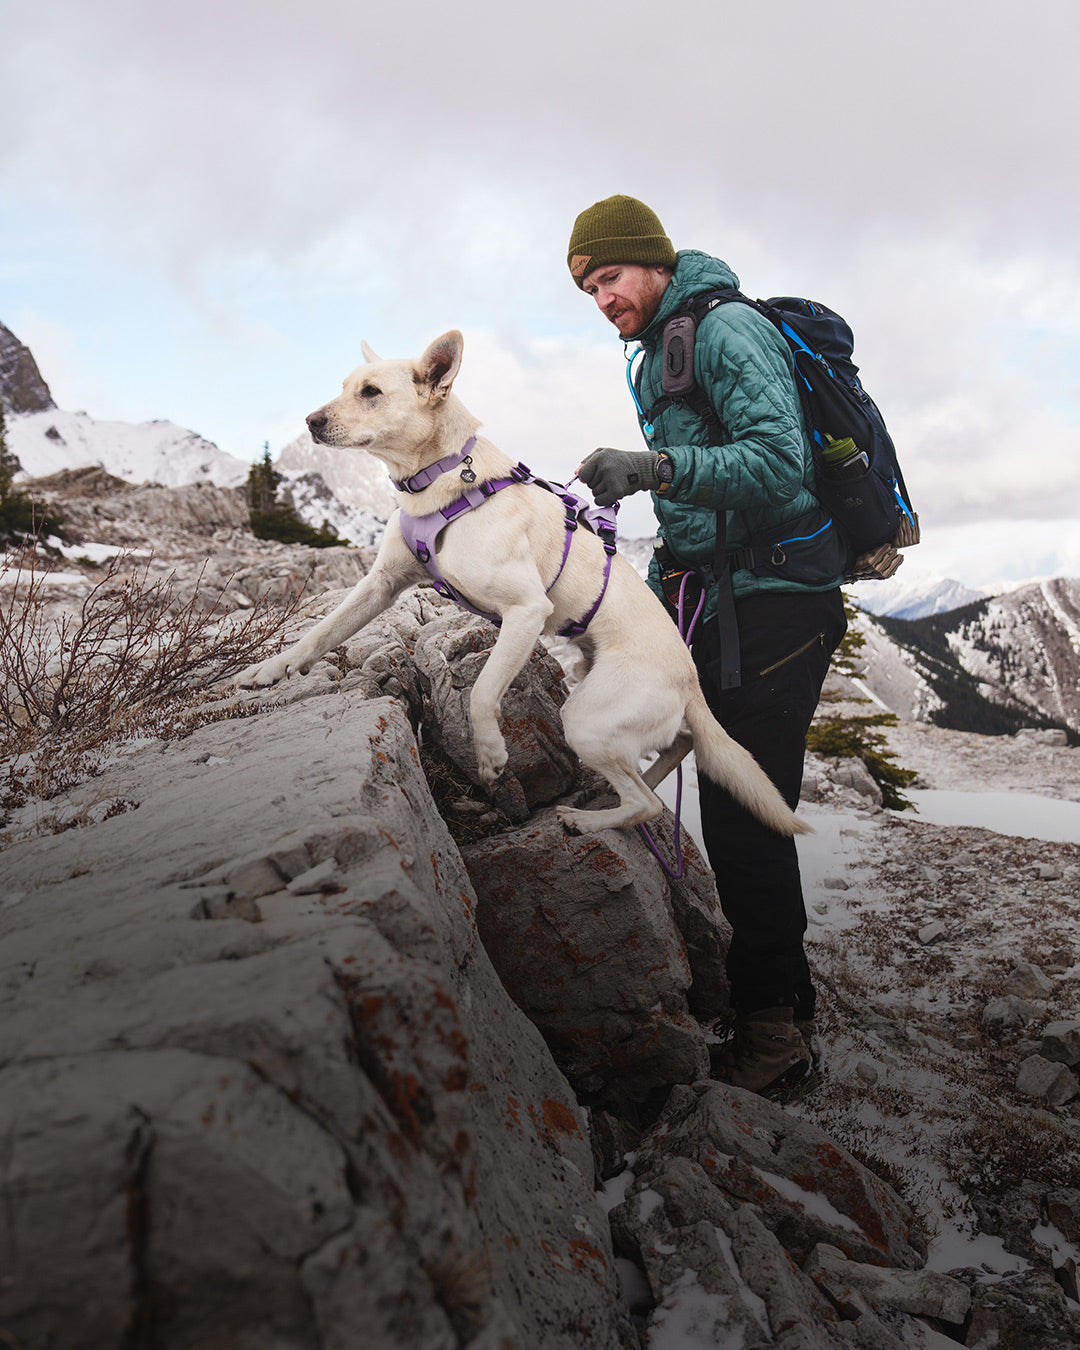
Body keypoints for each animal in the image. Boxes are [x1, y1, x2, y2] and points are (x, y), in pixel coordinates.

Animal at [238, 332, 810, 837]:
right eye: (344, 386)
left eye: (372, 392)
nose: (311, 421)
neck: (441, 479)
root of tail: (690, 676)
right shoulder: (382, 583)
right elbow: (322, 632)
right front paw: (270, 670)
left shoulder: (526, 611)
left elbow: (482, 692)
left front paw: (491, 755)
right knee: (678, 748)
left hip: (585, 718)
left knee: (647, 803)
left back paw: (587, 819)